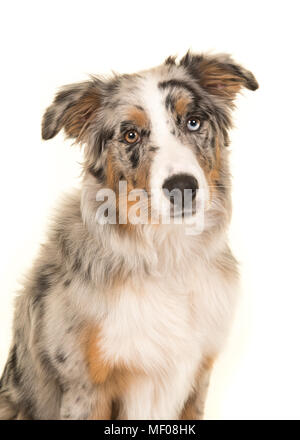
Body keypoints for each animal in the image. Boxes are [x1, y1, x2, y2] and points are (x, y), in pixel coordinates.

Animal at [0, 51, 258, 420]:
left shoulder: (198, 376)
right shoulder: (85, 387)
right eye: (131, 135)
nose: (182, 187)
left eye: (193, 122)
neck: (167, 257)